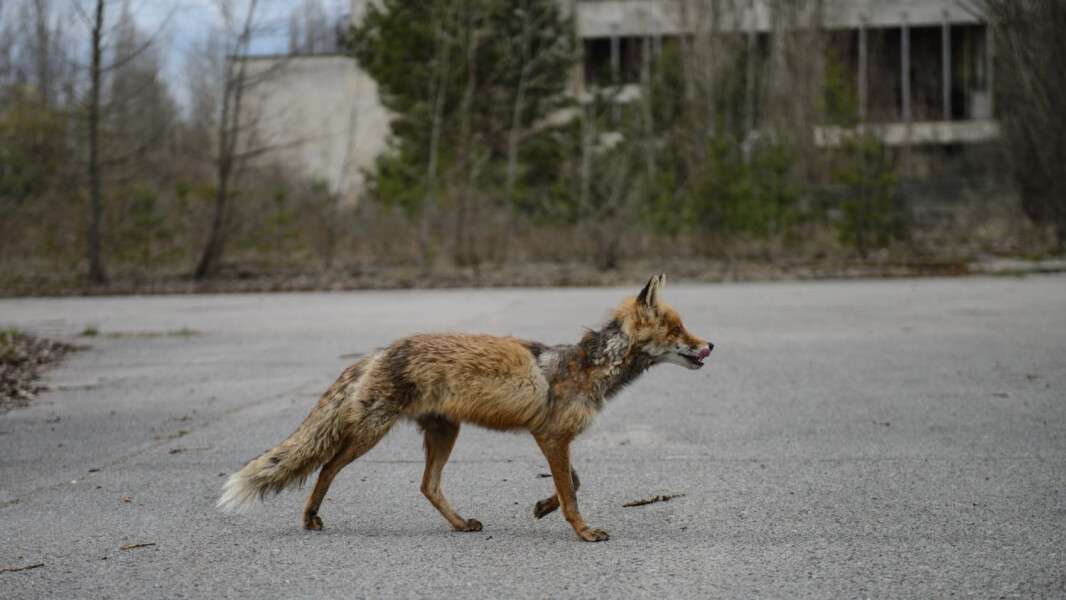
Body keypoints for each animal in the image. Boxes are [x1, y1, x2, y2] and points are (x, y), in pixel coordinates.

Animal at [216, 274, 712, 541]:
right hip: (372, 433)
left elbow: (572, 482)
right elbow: (572, 492)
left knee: (427, 486)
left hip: (444, 433)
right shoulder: (551, 436)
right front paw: (582, 530)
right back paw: (310, 517)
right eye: (677, 330)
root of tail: (381, 350)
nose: (710, 346)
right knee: (326, 467)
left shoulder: (554, 438)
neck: (587, 367)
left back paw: (459, 524)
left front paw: (541, 507)